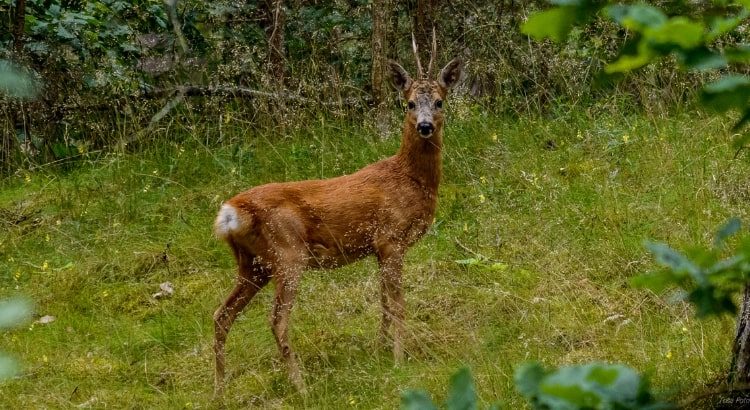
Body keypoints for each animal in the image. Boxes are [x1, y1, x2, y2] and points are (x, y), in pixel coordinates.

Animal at [212, 37, 464, 394]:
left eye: (440, 102)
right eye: (410, 104)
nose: (425, 126)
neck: (410, 180)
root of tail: (232, 211)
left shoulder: (378, 247)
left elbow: (383, 303)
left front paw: (380, 351)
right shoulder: (391, 238)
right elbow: (398, 304)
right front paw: (399, 361)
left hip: (252, 264)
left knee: (221, 316)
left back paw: (219, 390)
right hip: (288, 254)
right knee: (277, 321)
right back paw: (301, 386)